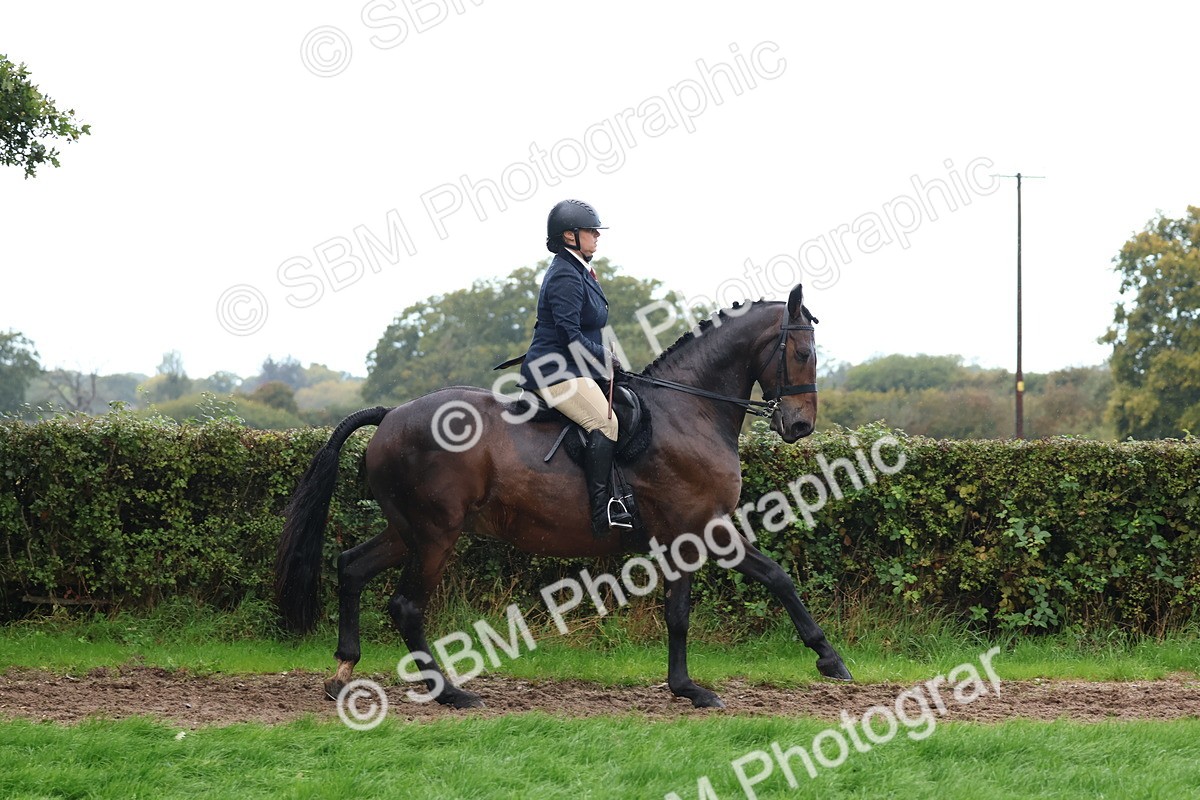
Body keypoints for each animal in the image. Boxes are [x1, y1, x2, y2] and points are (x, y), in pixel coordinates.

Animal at [274, 283, 852, 709]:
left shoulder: (698, 531)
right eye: (804, 352)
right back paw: (451, 694)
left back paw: (343, 671)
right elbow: (704, 604)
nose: (800, 426)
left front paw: (825, 661)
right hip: (436, 535)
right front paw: (699, 688)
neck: (690, 411)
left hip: (407, 530)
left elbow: (756, 583)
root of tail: (391, 414)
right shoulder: (696, 529)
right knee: (406, 606)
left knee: (351, 567)